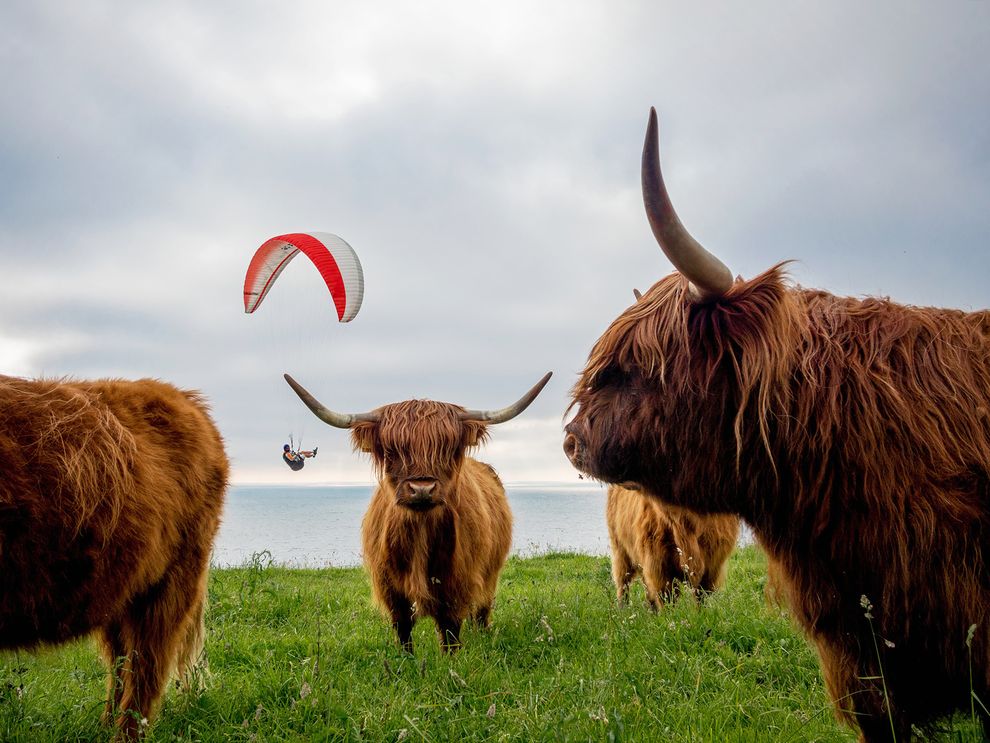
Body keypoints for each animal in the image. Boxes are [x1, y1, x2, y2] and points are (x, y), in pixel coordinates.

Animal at [0, 375, 228, 739]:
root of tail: (183, 396)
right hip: (119, 588)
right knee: (122, 662)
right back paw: (104, 725)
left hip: (173, 581)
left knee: (147, 668)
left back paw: (123, 734)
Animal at [284, 371, 551, 653]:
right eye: (392, 451)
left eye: (447, 448)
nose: (422, 488)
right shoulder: (391, 590)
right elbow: (403, 630)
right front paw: (406, 660)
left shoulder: (457, 585)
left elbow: (450, 632)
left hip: (490, 574)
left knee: (482, 610)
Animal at [606, 483, 739, 609]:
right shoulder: (658, 564)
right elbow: (667, 596)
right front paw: (669, 616)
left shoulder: (712, 564)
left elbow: (702, 594)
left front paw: (702, 613)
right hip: (620, 549)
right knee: (623, 582)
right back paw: (623, 609)